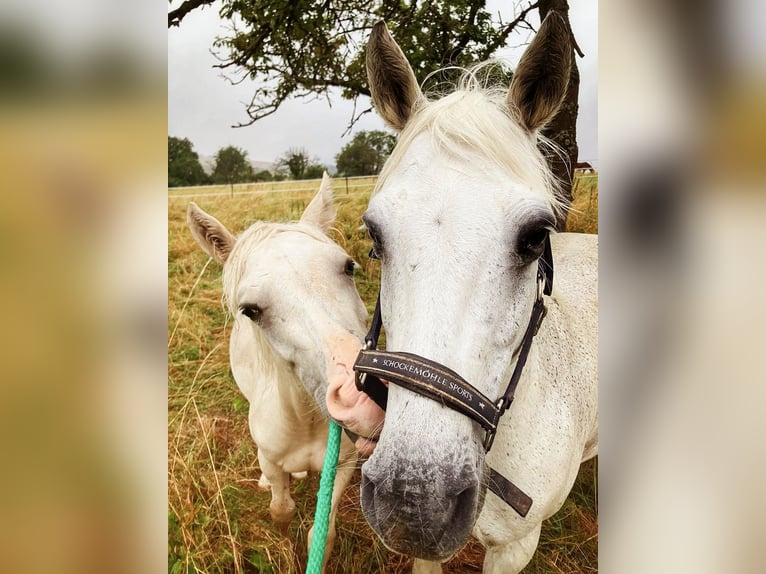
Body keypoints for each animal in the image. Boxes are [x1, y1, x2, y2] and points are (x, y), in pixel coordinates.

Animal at [189, 174, 388, 568]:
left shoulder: (342, 466)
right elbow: (281, 511)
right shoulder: (271, 460)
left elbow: (321, 535)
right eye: (249, 310)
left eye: (348, 267)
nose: (364, 396)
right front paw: (283, 547)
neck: (306, 425)